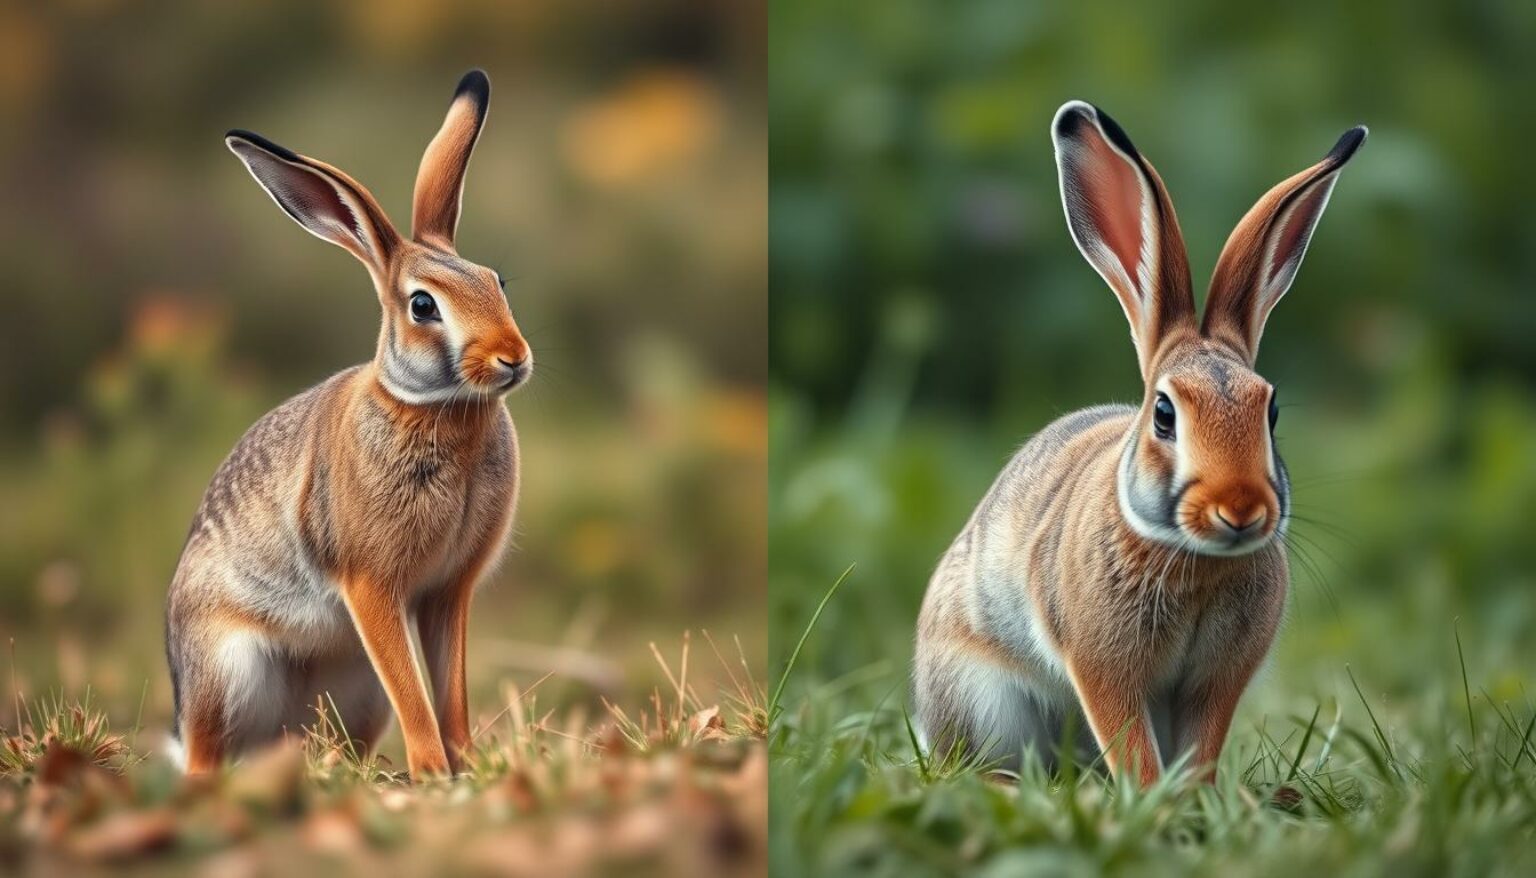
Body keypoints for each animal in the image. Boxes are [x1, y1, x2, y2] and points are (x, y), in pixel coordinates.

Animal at [165, 69, 529, 779]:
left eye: (497, 280)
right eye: (423, 306)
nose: (514, 358)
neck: (433, 406)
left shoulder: (449, 591)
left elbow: (450, 689)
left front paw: (466, 765)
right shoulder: (370, 583)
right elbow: (414, 692)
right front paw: (435, 770)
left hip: (356, 688)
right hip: (229, 670)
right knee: (207, 752)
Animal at [913, 101, 1365, 786]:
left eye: (1271, 410)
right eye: (1164, 415)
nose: (1240, 509)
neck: (1194, 556)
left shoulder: (1214, 682)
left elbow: (1201, 742)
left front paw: (1193, 797)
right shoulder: (1102, 665)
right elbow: (1128, 738)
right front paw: (1151, 797)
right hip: (982, 696)